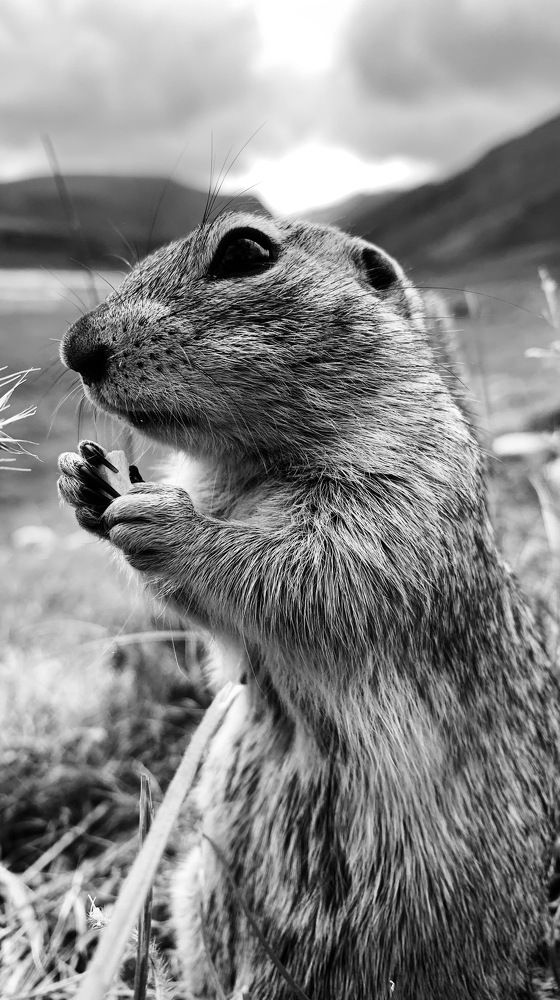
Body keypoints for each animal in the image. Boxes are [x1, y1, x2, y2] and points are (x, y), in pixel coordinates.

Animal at [57, 211, 560, 999]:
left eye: (245, 249)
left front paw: (167, 521)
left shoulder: (403, 501)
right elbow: (227, 639)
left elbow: (315, 576)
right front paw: (83, 480)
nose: (75, 347)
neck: (249, 469)